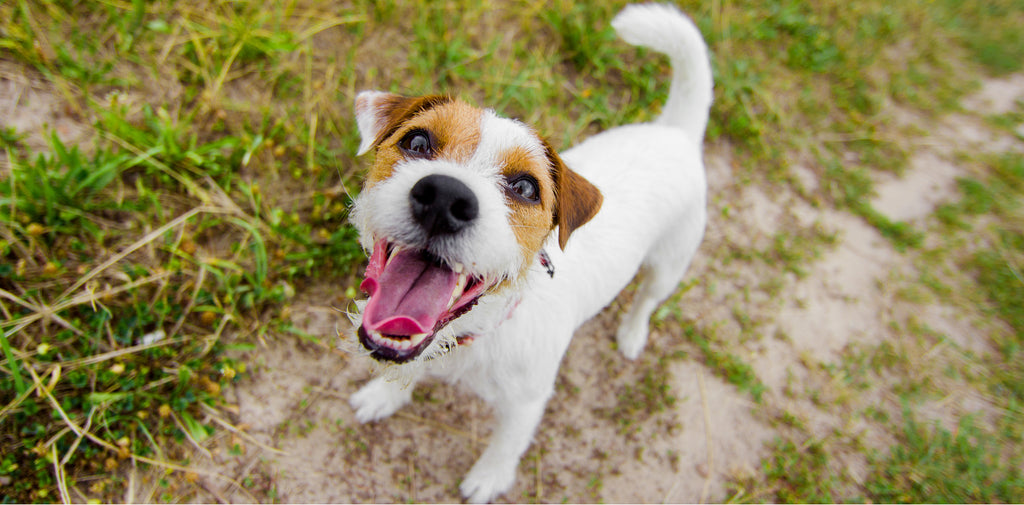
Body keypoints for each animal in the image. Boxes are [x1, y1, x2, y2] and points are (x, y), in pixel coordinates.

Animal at [348, 2, 708, 499]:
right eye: (416, 142)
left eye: (524, 187)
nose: (443, 199)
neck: (482, 328)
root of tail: (676, 133)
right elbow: (408, 368)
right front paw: (384, 395)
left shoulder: (527, 403)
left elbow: (507, 443)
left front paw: (488, 478)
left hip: (669, 263)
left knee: (648, 298)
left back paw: (632, 333)